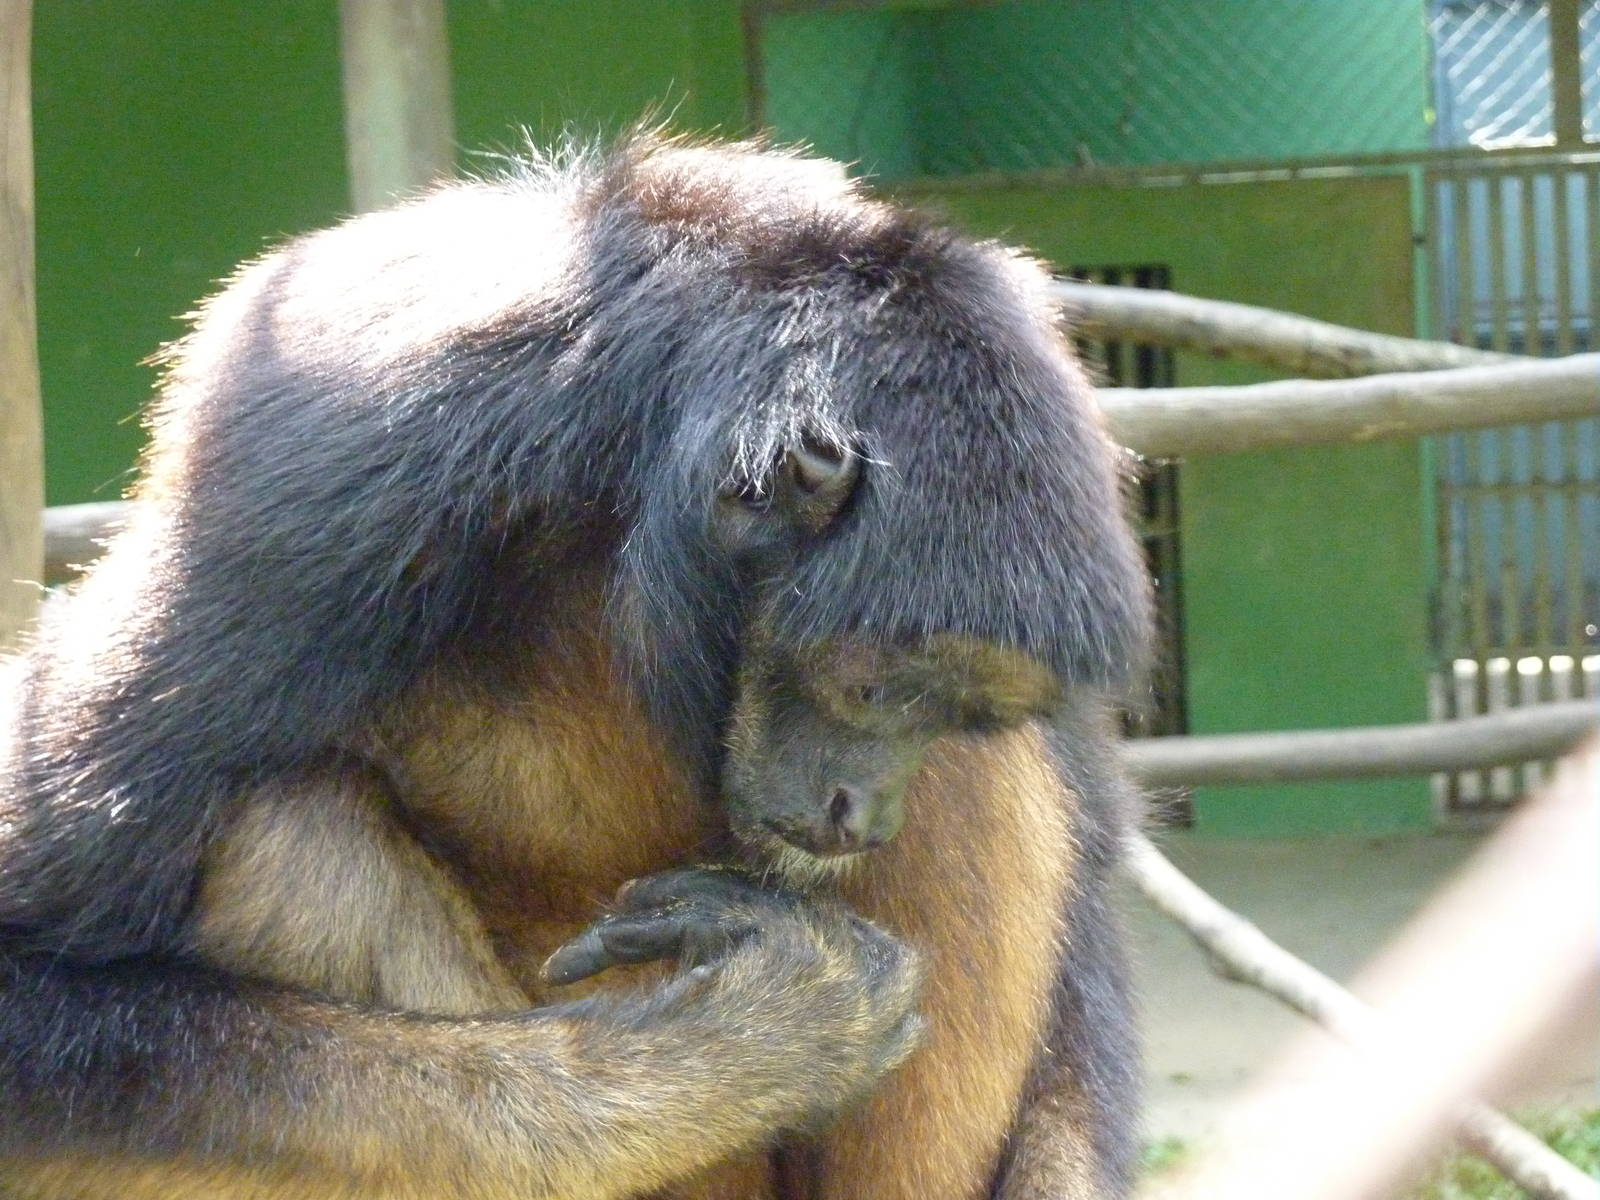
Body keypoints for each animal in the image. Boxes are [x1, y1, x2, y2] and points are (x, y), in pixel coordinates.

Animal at [0, 132, 1150, 1198]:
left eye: (959, 711)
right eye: (872, 692)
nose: (860, 810)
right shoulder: (336, 475)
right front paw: (742, 1044)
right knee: (290, 828)